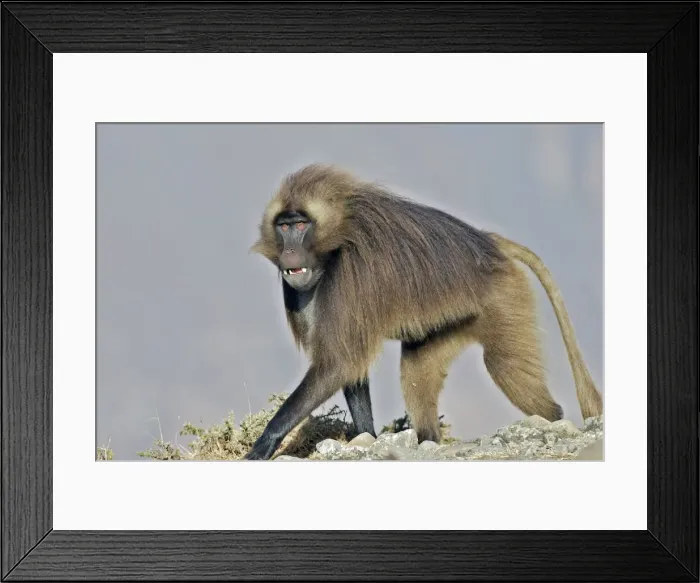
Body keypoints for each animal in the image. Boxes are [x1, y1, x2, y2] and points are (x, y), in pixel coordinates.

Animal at [244, 164, 603, 460]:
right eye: (283, 226)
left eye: (301, 225)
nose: (290, 252)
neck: (334, 242)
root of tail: (488, 242)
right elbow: (350, 367)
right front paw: (367, 437)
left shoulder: (350, 278)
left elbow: (339, 362)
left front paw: (264, 444)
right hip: (451, 320)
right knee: (416, 369)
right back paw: (428, 439)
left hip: (504, 298)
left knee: (505, 365)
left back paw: (553, 421)